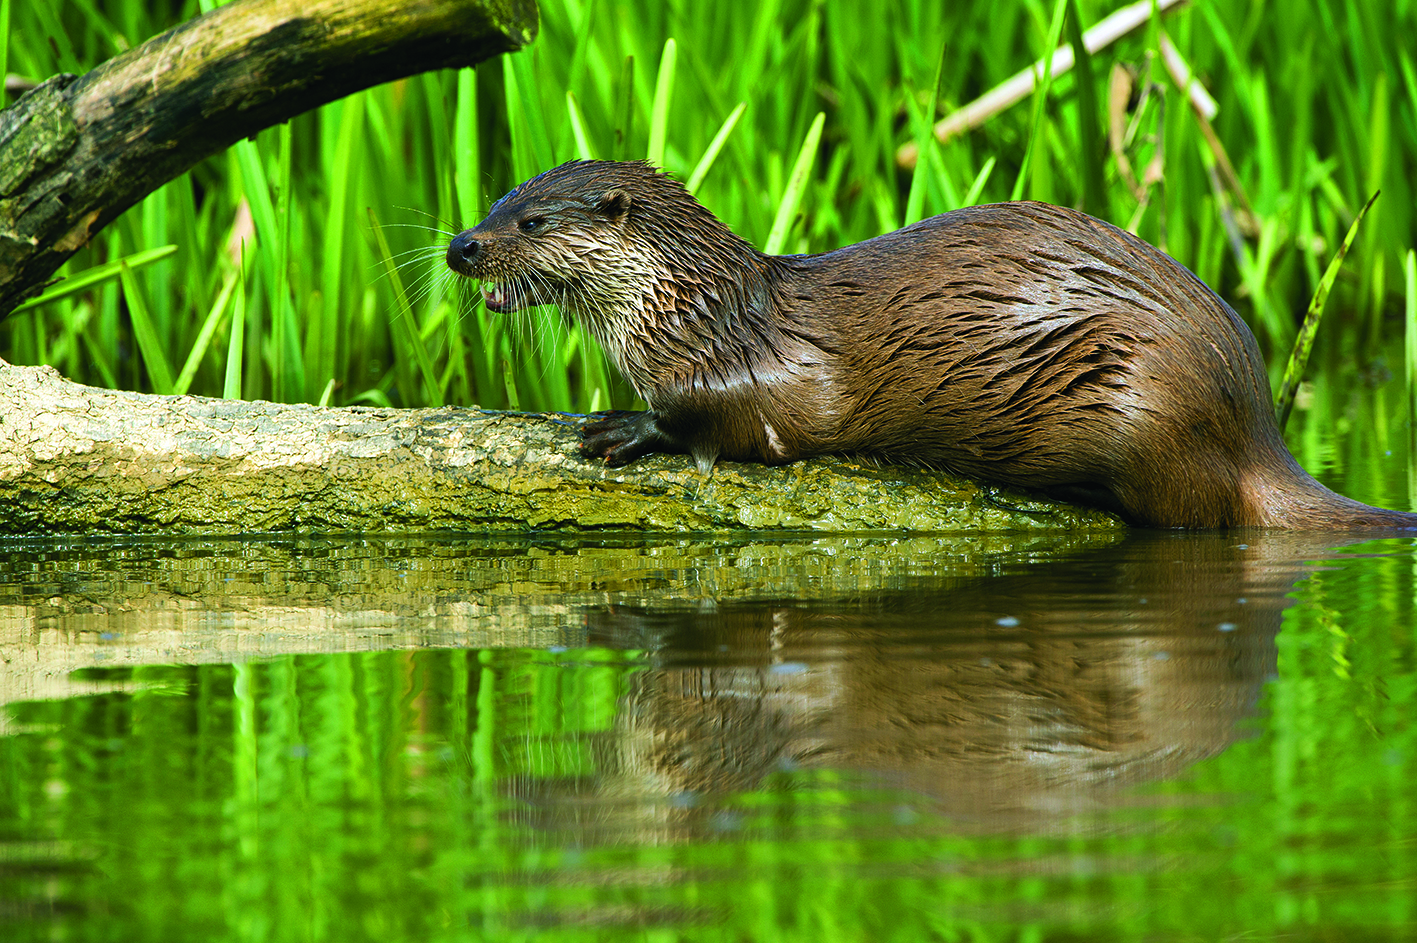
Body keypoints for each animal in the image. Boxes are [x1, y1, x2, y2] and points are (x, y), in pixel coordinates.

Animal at [446, 160, 1416, 529]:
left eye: (528, 222)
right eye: (493, 200)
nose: (460, 246)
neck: (694, 312)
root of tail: (1254, 423)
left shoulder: (767, 375)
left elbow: (725, 422)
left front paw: (625, 426)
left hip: (1151, 400)